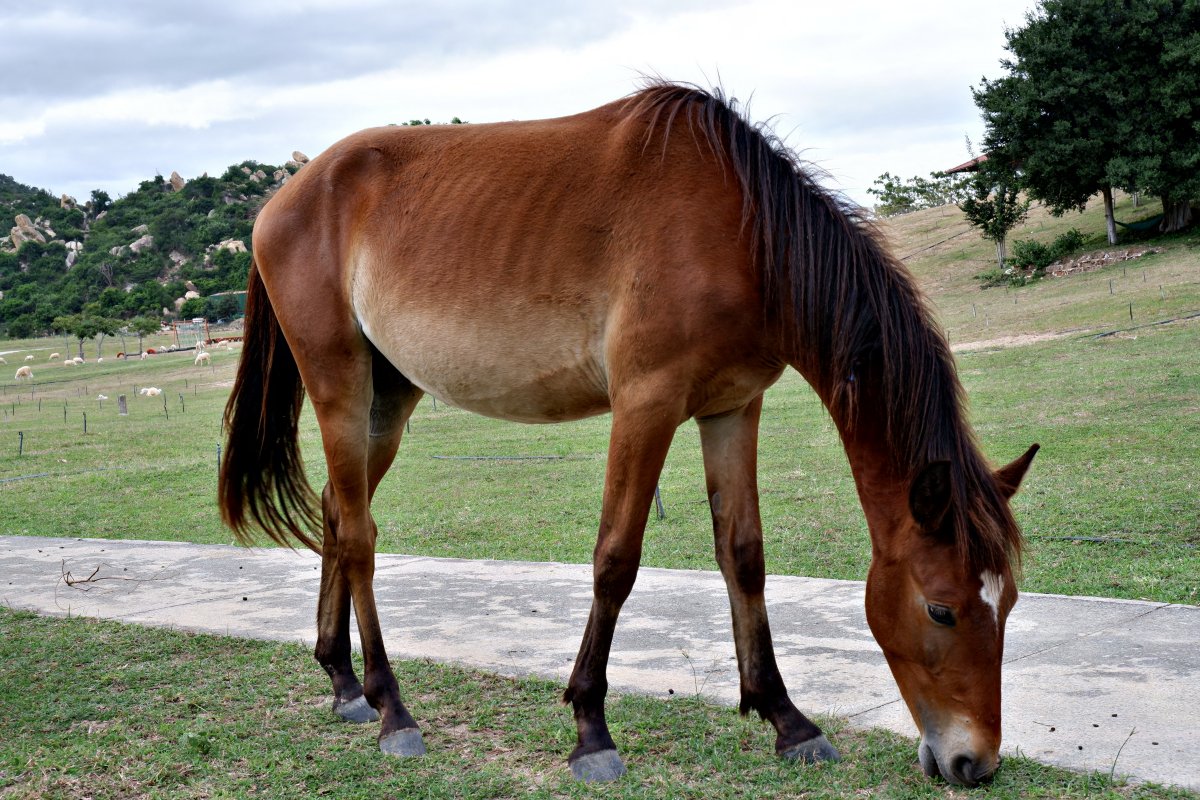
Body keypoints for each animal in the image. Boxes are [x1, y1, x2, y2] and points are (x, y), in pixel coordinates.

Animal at [218, 82, 1041, 786]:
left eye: (1008, 605)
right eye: (941, 609)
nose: (974, 763)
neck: (742, 232)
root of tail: (285, 196)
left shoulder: (732, 407)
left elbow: (744, 556)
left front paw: (787, 720)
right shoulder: (646, 405)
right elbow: (615, 560)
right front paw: (591, 729)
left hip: (388, 400)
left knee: (337, 513)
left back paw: (343, 682)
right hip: (340, 385)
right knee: (358, 537)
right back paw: (393, 708)